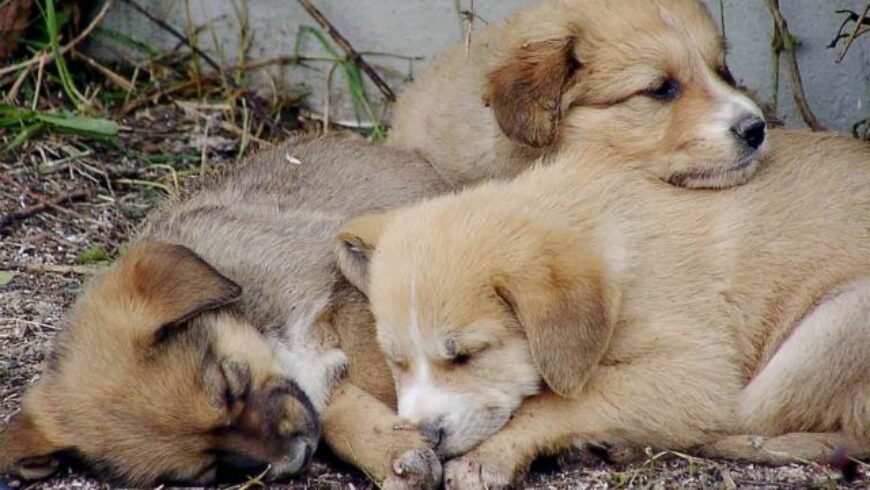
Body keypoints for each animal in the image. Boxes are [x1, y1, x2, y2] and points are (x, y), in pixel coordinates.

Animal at [0, 135, 470, 490]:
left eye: (229, 387)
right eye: (206, 470)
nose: (300, 456)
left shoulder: (338, 289)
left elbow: (381, 368)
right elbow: (340, 408)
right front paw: (397, 452)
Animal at [338, 128, 870, 488]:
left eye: (468, 355)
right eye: (396, 361)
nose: (424, 435)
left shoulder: (695, 375)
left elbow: (563, 401)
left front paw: (489, 457)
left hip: (840, 320)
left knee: (759, 422)